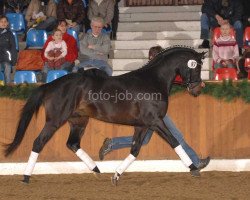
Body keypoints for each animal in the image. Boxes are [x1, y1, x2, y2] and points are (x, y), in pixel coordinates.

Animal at [4, 45, 205, 184]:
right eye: (196, 67)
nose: (197, 89)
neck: (154, 80)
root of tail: (51, 84)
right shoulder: (155, 121)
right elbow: (174, 141)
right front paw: (193, 168)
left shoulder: (142, 125)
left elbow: (135, 150)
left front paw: (116, 175)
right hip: (55, 121)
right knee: (39, 142)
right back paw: (26, 177)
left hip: (78, 120)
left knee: (72, 143)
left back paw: (96, 169)